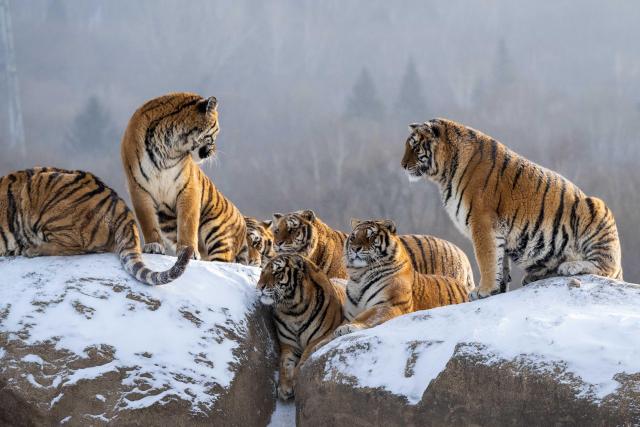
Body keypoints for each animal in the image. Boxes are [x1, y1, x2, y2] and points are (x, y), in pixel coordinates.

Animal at [121, 92, 247, 263]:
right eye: (217, 131)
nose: (213, 151)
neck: (168, 147)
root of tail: (244, 223)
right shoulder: (138, 187)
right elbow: (147, 220)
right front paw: (154, 246)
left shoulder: (188, 187)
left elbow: (187, 223)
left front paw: (189, 251)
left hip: (218, 234)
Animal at [257, 254, 346, 400]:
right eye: (262, 273)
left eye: (277, 273)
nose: (259, 287)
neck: (294, 310)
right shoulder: (288, 345)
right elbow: (285, 364)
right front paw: (285, 387)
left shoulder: (322, 335)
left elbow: (305, 354)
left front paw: (296, 380)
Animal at [335, 219, 468, 337]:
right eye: (353, 237)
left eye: (371, 236)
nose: (355, 248)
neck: (359, 276)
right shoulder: (350, 313)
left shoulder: (390, 304)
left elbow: (367, 317)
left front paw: (346, 328)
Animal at [401, 118, 623, 299]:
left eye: (415, 146)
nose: (402, 165)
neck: (444, 174)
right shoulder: (499, 231)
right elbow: (500, 262)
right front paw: (496, 290)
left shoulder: (481, 223)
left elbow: (486, 259)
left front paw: (483, 290)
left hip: (597, 209)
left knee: (607, 266)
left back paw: (570, 266)